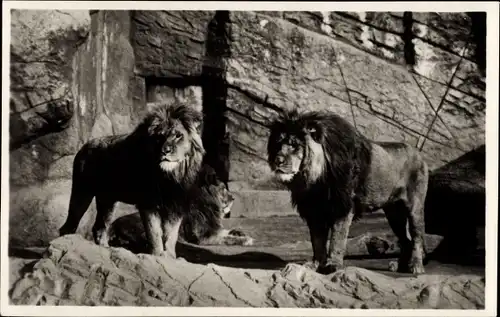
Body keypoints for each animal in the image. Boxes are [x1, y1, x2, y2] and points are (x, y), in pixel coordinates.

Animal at [58, 102, 205, 258]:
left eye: (178, 135)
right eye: (160, 137)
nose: (165, 151)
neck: (170, 176)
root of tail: (84, 146)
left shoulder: (176, 205)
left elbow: (171, 235)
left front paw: (170, 256)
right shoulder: (148, 203)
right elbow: (154, 233)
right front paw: (156, 254)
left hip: (107, 201)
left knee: (99, 227)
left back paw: (107, 250)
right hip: (82, 192)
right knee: (69, 225)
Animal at [268, 109, 428, 274]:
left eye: (294, 145)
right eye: (277, 144)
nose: (277, 160)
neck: (313, 178)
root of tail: (418, 153)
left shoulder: (342, 207)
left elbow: (337, 239)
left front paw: (334, 265)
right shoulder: (314, 211)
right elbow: (317, 241)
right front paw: (315, 264)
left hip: (414, 207)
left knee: (416, 237)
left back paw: (416, 266)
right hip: (394, 213)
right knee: (405, 240)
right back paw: (399, 266)